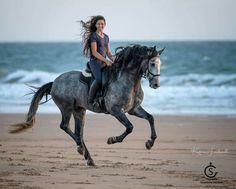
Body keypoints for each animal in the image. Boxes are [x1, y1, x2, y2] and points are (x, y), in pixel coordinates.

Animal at [10, 44, 164, 165]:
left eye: (160, 64)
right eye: (152, 64)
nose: (156, 85)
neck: (128, 80)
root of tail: (54, 82)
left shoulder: (133, 109)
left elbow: (150, 118)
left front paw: (150, 143)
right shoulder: (115, 110)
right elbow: (130, 127)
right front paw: (112, 140)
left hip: (79, 110)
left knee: (79, 132)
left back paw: (88, 157)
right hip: (66, 108)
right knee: (65, 126)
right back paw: (81, 149)